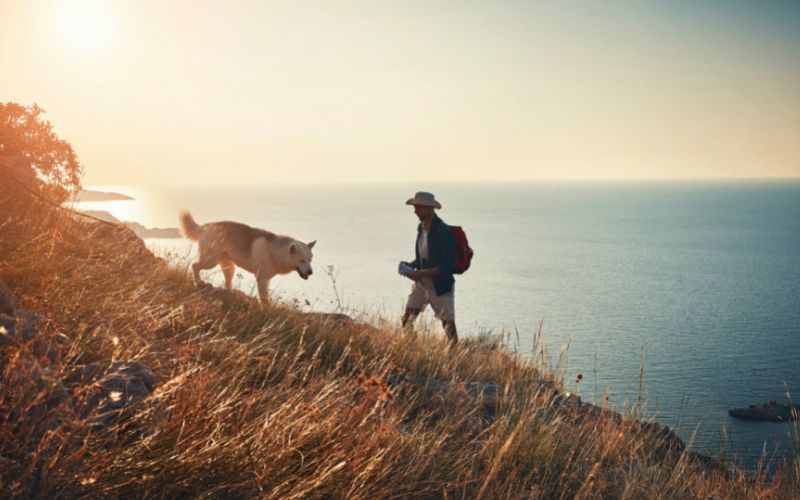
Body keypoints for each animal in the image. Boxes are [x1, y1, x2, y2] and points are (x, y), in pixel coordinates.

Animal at [179, 212, 316, 304]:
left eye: (310, 260)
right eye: (302, 260)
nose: (310, 272)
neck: (274, 251)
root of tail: (205, 226)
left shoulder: (266, 280)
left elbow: (265, 297)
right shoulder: (261, 279)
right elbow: (264, 299)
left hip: (228, 267)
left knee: (227, 283)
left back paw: (230, 294)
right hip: (210, 261)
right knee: (195, 266)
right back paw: (199, 282)